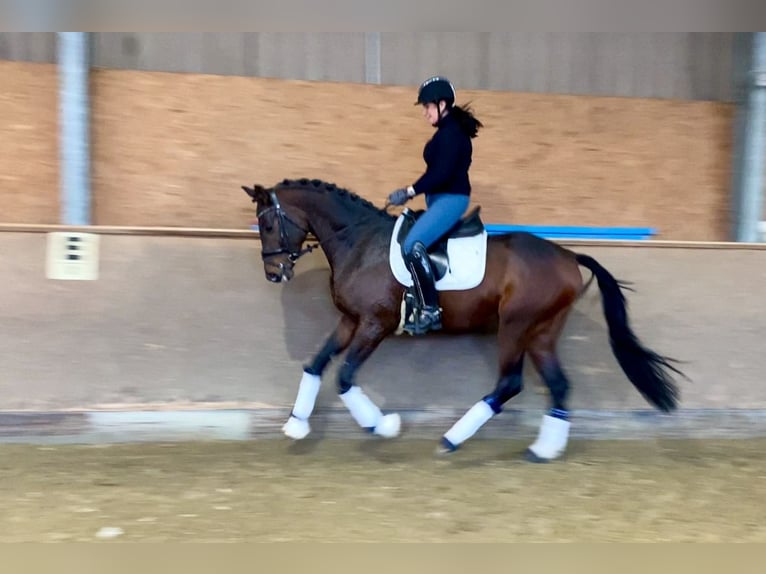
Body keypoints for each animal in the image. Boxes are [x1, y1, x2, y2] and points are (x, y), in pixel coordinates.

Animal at [243, 179, 688, 464]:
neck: (359, 241)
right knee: (559, 386)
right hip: (541, 332)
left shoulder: (374, 324)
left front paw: (382, 425)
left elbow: (345, 376)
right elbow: (315, 365)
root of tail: (567, 255)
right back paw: (542, 450)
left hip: (515, 327)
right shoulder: (351, 321)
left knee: (510, 383)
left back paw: (451, 440)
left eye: (267, 223)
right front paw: (296, 425)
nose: (275, 274)